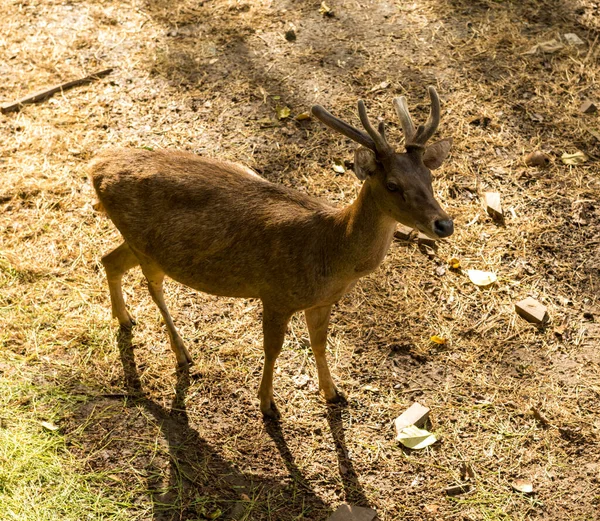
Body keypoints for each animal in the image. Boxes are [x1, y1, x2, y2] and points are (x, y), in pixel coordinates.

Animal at [89, 85, 452, 418]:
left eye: (429, 176)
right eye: (392, 185)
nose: (444, 224)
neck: (332, 255)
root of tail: (95, 167)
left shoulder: (321, 302)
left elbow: (319, 344)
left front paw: (333, 393)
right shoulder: (276, 294)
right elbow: (273, 349)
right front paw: (267, 405)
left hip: (135, 241)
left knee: (109, 259)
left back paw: (125, 318)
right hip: (146, 246)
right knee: (153, 287)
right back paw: (181, 352)